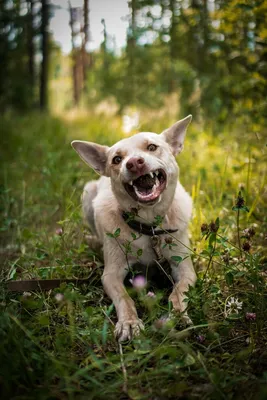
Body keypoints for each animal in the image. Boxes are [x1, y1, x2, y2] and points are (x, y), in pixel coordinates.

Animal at [72, 115, 198, 340]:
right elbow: (125, 298)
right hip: (87, 192)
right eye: (116, 159)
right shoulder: (111, 275)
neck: (149, 225)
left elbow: (178, 292)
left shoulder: (185, 269)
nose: (133, 163)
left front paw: (177, 315)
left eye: (152, 147)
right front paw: (129, 322)